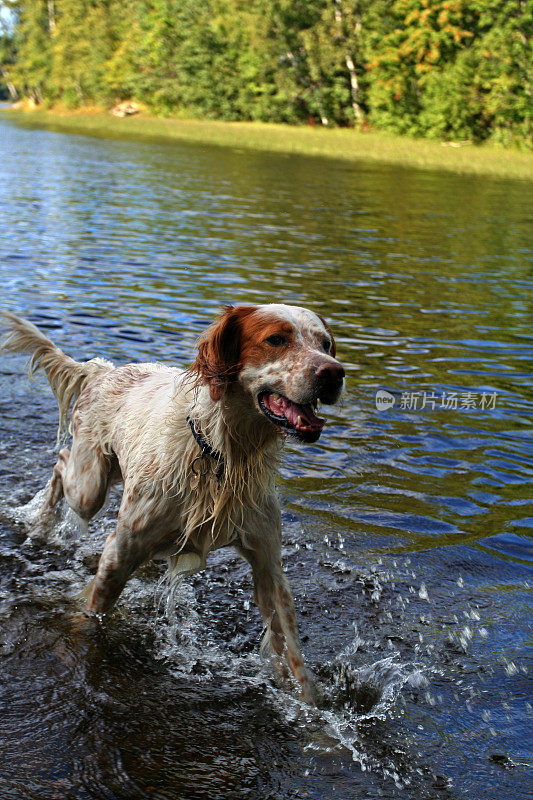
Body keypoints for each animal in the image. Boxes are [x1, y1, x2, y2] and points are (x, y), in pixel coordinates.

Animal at [2, 306, 342, 700]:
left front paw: (314, 713)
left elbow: (296, 660)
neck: (221, 452)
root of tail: (103, 370)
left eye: (325, 344)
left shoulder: (268, 564)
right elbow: (92, 614)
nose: (335, 372)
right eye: (276, 339)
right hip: (89, 487)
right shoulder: (121, 549)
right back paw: (41, 520)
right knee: (60, 463)